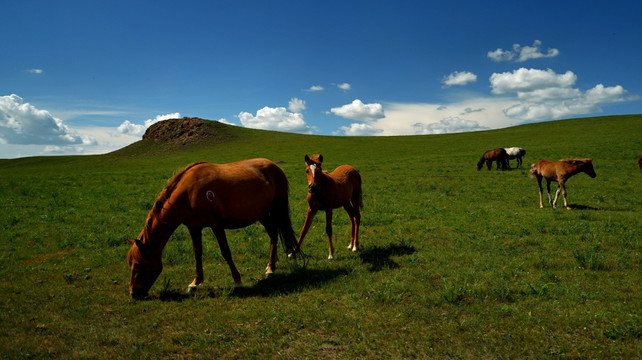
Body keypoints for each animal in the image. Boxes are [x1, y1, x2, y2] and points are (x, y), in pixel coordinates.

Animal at [126, 159, 298, 300]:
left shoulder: (217, 225)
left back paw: (271, 269)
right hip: (262, 213)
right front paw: (195, 283)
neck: (188, 193)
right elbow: (197, 253)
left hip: (277, 207)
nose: (133, 293)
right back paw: (270, 266)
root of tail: (275, 166)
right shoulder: (194, 227)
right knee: (273, 233)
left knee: (275, 232)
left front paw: (238, 282)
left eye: (138, 265)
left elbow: (226, 252)